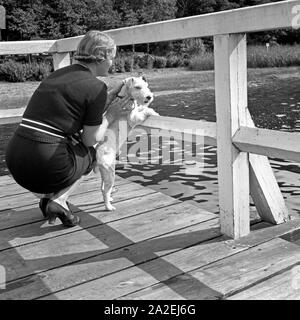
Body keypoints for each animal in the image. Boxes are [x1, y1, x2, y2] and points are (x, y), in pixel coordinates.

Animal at [94, 76, 159, 211]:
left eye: (146, 86)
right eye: (137, 87)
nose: (149, 97)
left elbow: (142, 108)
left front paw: (151, 110)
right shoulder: (133, 118)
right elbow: (142, 113)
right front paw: (152, 112)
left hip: (106, 173)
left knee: (103, 188)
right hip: (110, 172)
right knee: (105, 190)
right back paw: (109, 207)